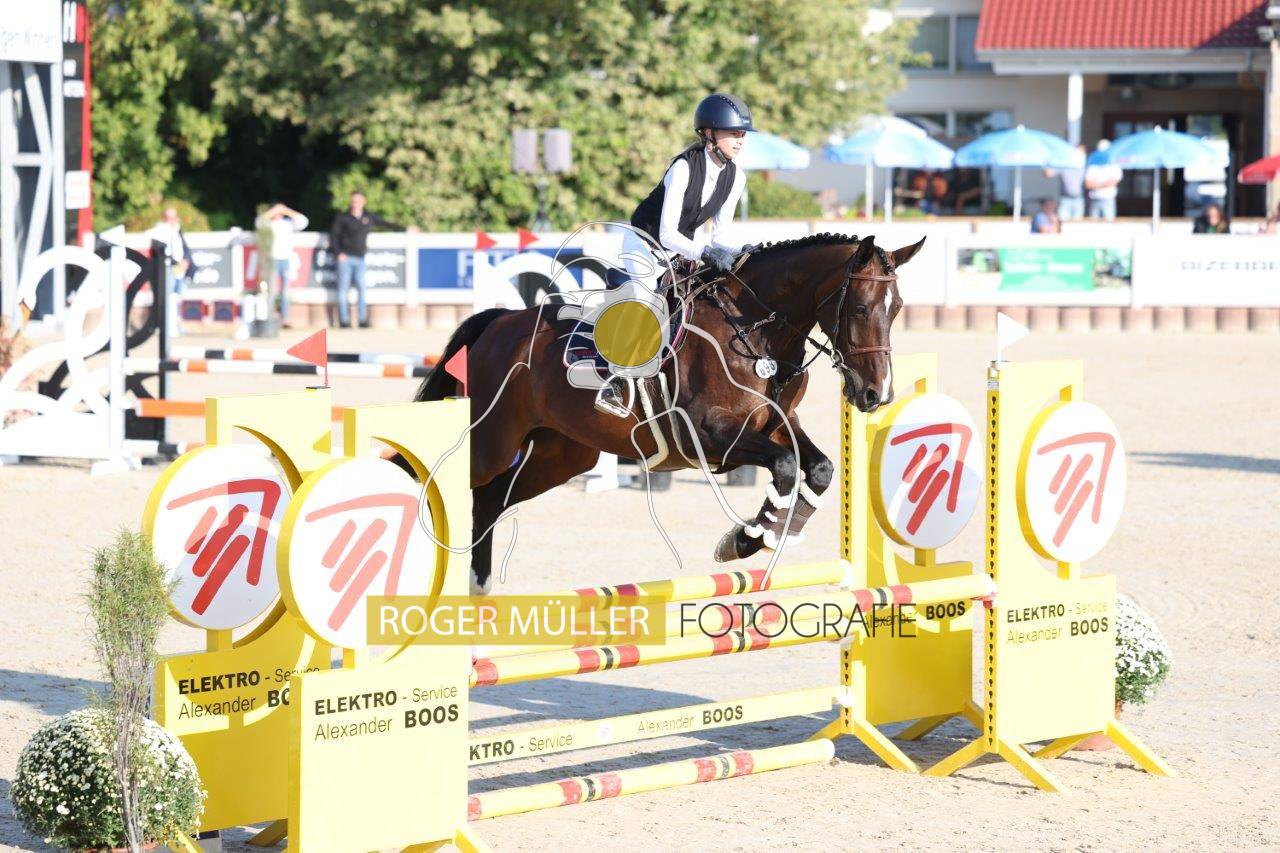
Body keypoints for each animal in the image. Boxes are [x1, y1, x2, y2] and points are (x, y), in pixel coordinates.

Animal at [413, 233, 924, 593]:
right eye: (860, 308)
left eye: (898, 308)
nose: (875, 394)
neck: (757, 330)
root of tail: (499, 322)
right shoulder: (712, 436)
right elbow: (784, 465)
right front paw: (741, 541)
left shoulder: (777, 424)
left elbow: (817, 468)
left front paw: (773, 532)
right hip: (495, 442)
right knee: (453, 482)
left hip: (563, 455)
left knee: (492, 499)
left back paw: (478, 585)